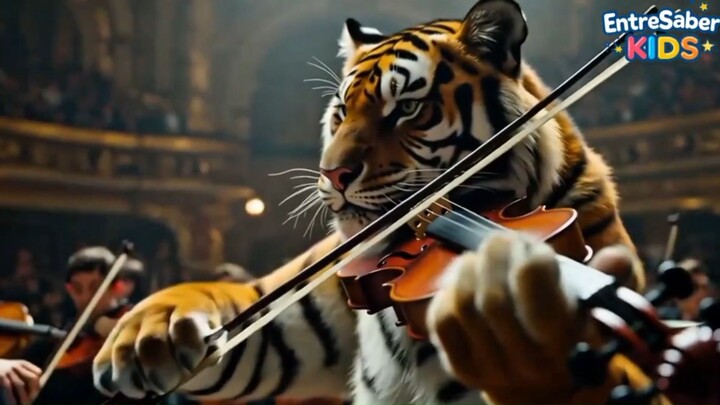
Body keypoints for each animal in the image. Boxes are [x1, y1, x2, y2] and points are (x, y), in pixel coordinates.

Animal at [92, 1, 667, 404]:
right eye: (341, 113)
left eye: (407, 109)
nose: (332, 173)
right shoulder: (305, 309)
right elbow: (237, 306)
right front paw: (147, 333)